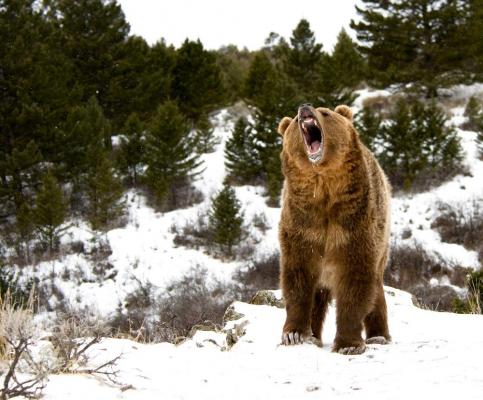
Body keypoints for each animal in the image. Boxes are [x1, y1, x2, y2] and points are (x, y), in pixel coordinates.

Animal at [278, 104, 392, 354]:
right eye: (294, 122)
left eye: (326, 112)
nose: (304, 108)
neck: (324, 187)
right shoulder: (303, 226)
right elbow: (297, 279)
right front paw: (293, 334)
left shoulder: (353, 225)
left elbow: (355, 281)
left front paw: (348, 344)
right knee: (318, 295)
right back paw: (313, 335)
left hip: (383, 241)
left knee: (376, 291)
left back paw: (379, 336)